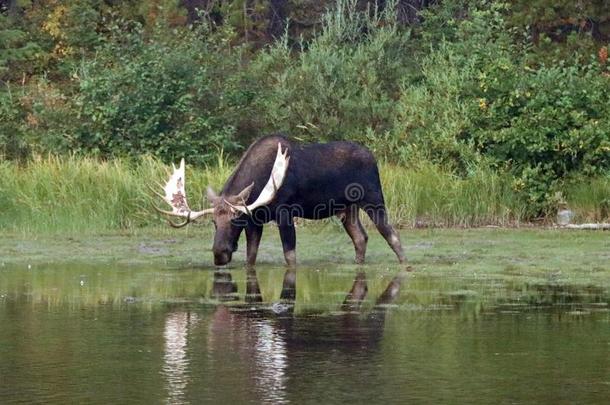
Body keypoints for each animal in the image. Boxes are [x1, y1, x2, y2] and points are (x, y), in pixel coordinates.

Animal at [153, 136, 404, 266]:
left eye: (235, 221)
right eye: (214, 223)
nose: (219, 253)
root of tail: (373, 157)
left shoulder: (284, 213)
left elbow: (290, 256)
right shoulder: (255, 221)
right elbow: (250, 257)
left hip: (373, 198)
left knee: (391, 234)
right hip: (346, 209)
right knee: (361, 238)